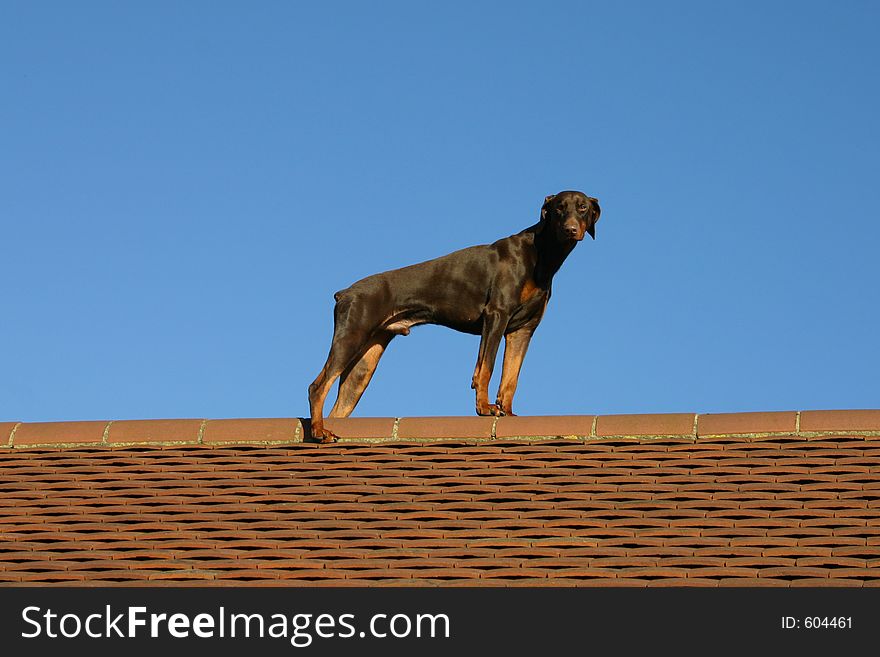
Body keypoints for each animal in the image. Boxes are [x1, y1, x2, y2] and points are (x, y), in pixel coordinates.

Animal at [306, 192, 600, 444]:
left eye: (582, 207)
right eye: (559, 208)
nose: (571, 229)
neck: (541, 253)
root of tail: (344, 293)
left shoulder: (524, 330)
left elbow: (511, 377)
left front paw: (507, 412)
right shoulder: (496, 315)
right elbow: (486, 367)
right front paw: (484, 407)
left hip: (365, 364)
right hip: (351, 337)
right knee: (317, 386)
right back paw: (319, 431)